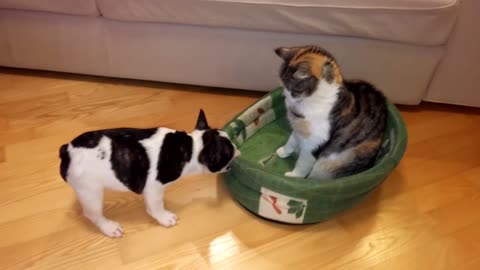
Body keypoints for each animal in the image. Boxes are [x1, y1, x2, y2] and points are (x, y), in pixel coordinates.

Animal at [59, 108, 239, 237]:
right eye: (228, 152)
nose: (238, 150)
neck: (192, 147)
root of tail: (67, 150)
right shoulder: (154, 188)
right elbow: (156, 205)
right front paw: (164, 217)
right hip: (90, 190)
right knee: (93, 214)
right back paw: (109, 227)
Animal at [274, 45, 386, 179]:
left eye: (293, 90)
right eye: (283, 86)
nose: (284, 96)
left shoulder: (314, 143)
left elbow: (303, 163)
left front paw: (293, 176)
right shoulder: (299, 130)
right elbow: (291, 140)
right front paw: (283, 151)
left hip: (327, 165)